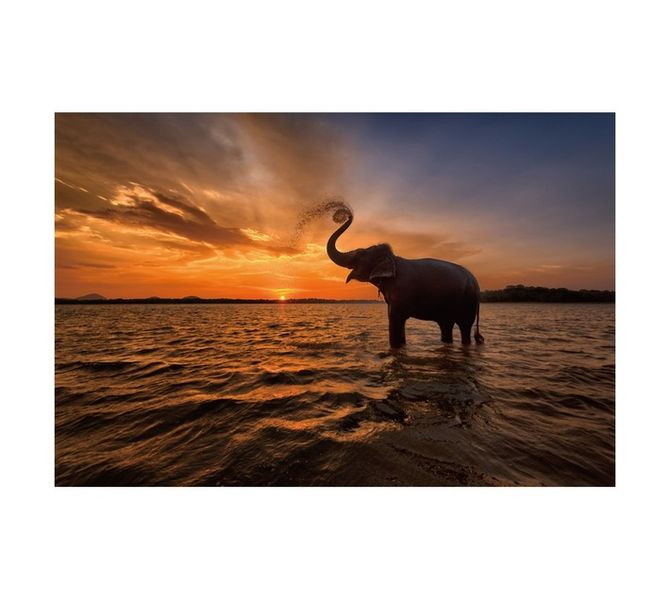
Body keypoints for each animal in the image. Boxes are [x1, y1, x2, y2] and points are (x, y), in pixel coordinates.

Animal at [327, 215, 484, 348]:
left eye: (359, 253)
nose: (347, 215)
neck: (393, 259)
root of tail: (476, 283)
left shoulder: (400, 292)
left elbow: (395, 321)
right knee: (446, 326)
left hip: (468, 302)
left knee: (464, 327)